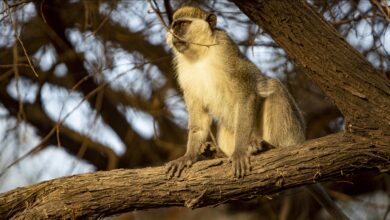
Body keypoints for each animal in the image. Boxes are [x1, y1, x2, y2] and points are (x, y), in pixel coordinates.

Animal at [165, 6, 348, 219]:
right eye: (174, 26)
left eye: (183, 25)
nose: (174, 35)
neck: (200, 55)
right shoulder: (184, 72)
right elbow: (199, 122)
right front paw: (187, 157)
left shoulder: (225, 49)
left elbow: (247, 94)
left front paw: (239, 152)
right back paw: (218, 154)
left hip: (288, 133)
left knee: (274, 88)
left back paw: (268, 147)